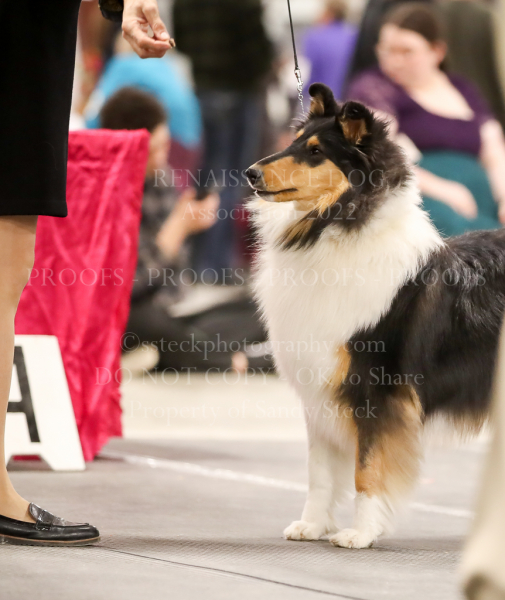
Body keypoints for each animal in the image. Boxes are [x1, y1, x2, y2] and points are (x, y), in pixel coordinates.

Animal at [245, 82, 505, 549]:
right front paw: (312, 525)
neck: (336, 227)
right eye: (294, 142)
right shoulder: (320, 388)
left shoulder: (377, 390)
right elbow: (319, 472)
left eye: (316, 152)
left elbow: (367, 469)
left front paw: (361, 533)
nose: (250, 173)